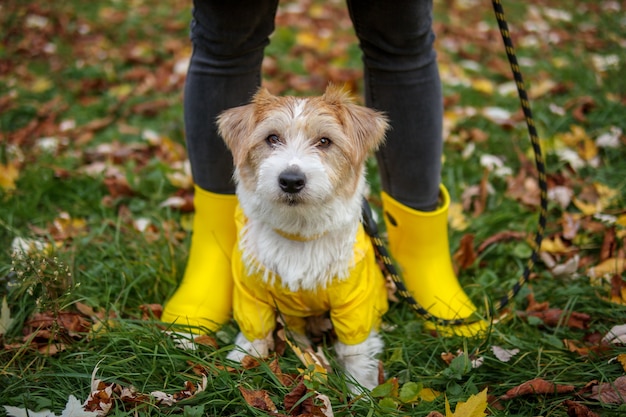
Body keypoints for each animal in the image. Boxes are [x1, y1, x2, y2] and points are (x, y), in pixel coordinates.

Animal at [217, 84, 388, 390]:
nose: (291, 180)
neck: (299, 231)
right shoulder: (251, 293)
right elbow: (255, 330)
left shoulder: (355, 303)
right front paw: (242, 360)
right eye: (272, 138)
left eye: (324, 141)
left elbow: (355, 349)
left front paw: (362, 388)